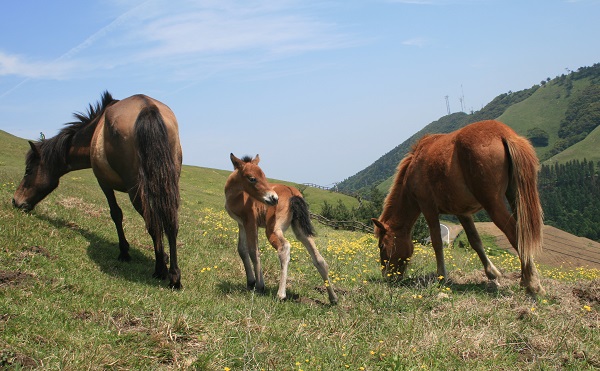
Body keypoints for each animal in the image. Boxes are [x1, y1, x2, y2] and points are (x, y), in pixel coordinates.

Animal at [12, 91, 182, 290]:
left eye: (28, 170)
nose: (16, 200)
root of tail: (147, 106)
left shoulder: (104, 183)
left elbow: (116, 214)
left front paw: (124, 252)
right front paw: (163, 255)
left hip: (137, 189)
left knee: (153, 222)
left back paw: (162, 270)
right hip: (167, 185)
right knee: (170, 222)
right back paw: (174, 275)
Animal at [225, 154, 338, 306]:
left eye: (264, 176)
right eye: (252, 178)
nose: (273, 198)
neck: (237, 195)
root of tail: (292, 192)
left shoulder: (250, 222)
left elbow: (253, 251)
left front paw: (259, 285)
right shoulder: (241, 223)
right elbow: (242, 250)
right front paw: (250, 282)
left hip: (273, 228)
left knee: (284, 248)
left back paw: (281, 294)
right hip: (300, 229)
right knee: (319, 259)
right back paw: (333, 298)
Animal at [370, 120, 544, 298]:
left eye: (381, 246)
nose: (387, 276)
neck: (414, 167)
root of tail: (503, 133)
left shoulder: (428, 207)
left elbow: (437, 242)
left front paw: (441, 276)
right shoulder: (462, 212)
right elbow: (475, 241)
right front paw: (492, 273)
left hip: (493, 204)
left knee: (516, 235)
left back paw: (533, 284)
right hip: (515, 197)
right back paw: (525, 279)